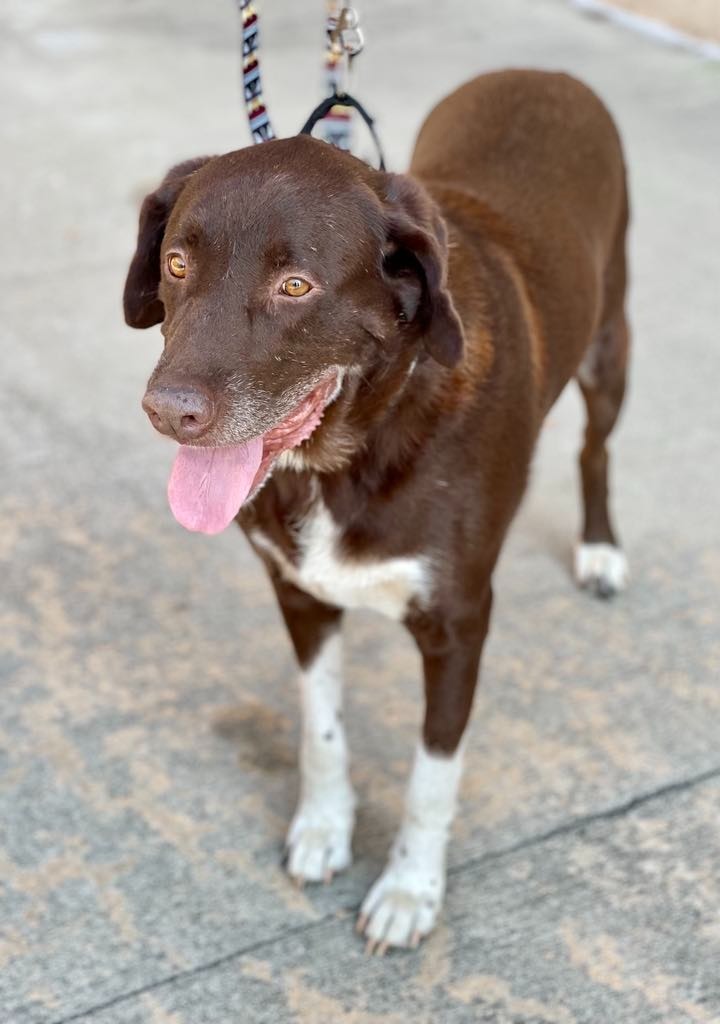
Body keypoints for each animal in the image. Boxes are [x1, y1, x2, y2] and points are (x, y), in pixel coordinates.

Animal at [123, 70, 630, 950]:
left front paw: (408, 891)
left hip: (611, 345)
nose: (168, 411)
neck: (350, 452)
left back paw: (600, 549)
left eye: (295, 286)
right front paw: (325, 829)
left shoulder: (460, 622)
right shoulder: (299, 593)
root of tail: (545, 72)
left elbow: (433, 776)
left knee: (594, 449)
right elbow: (321, 729)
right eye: (178, 263)